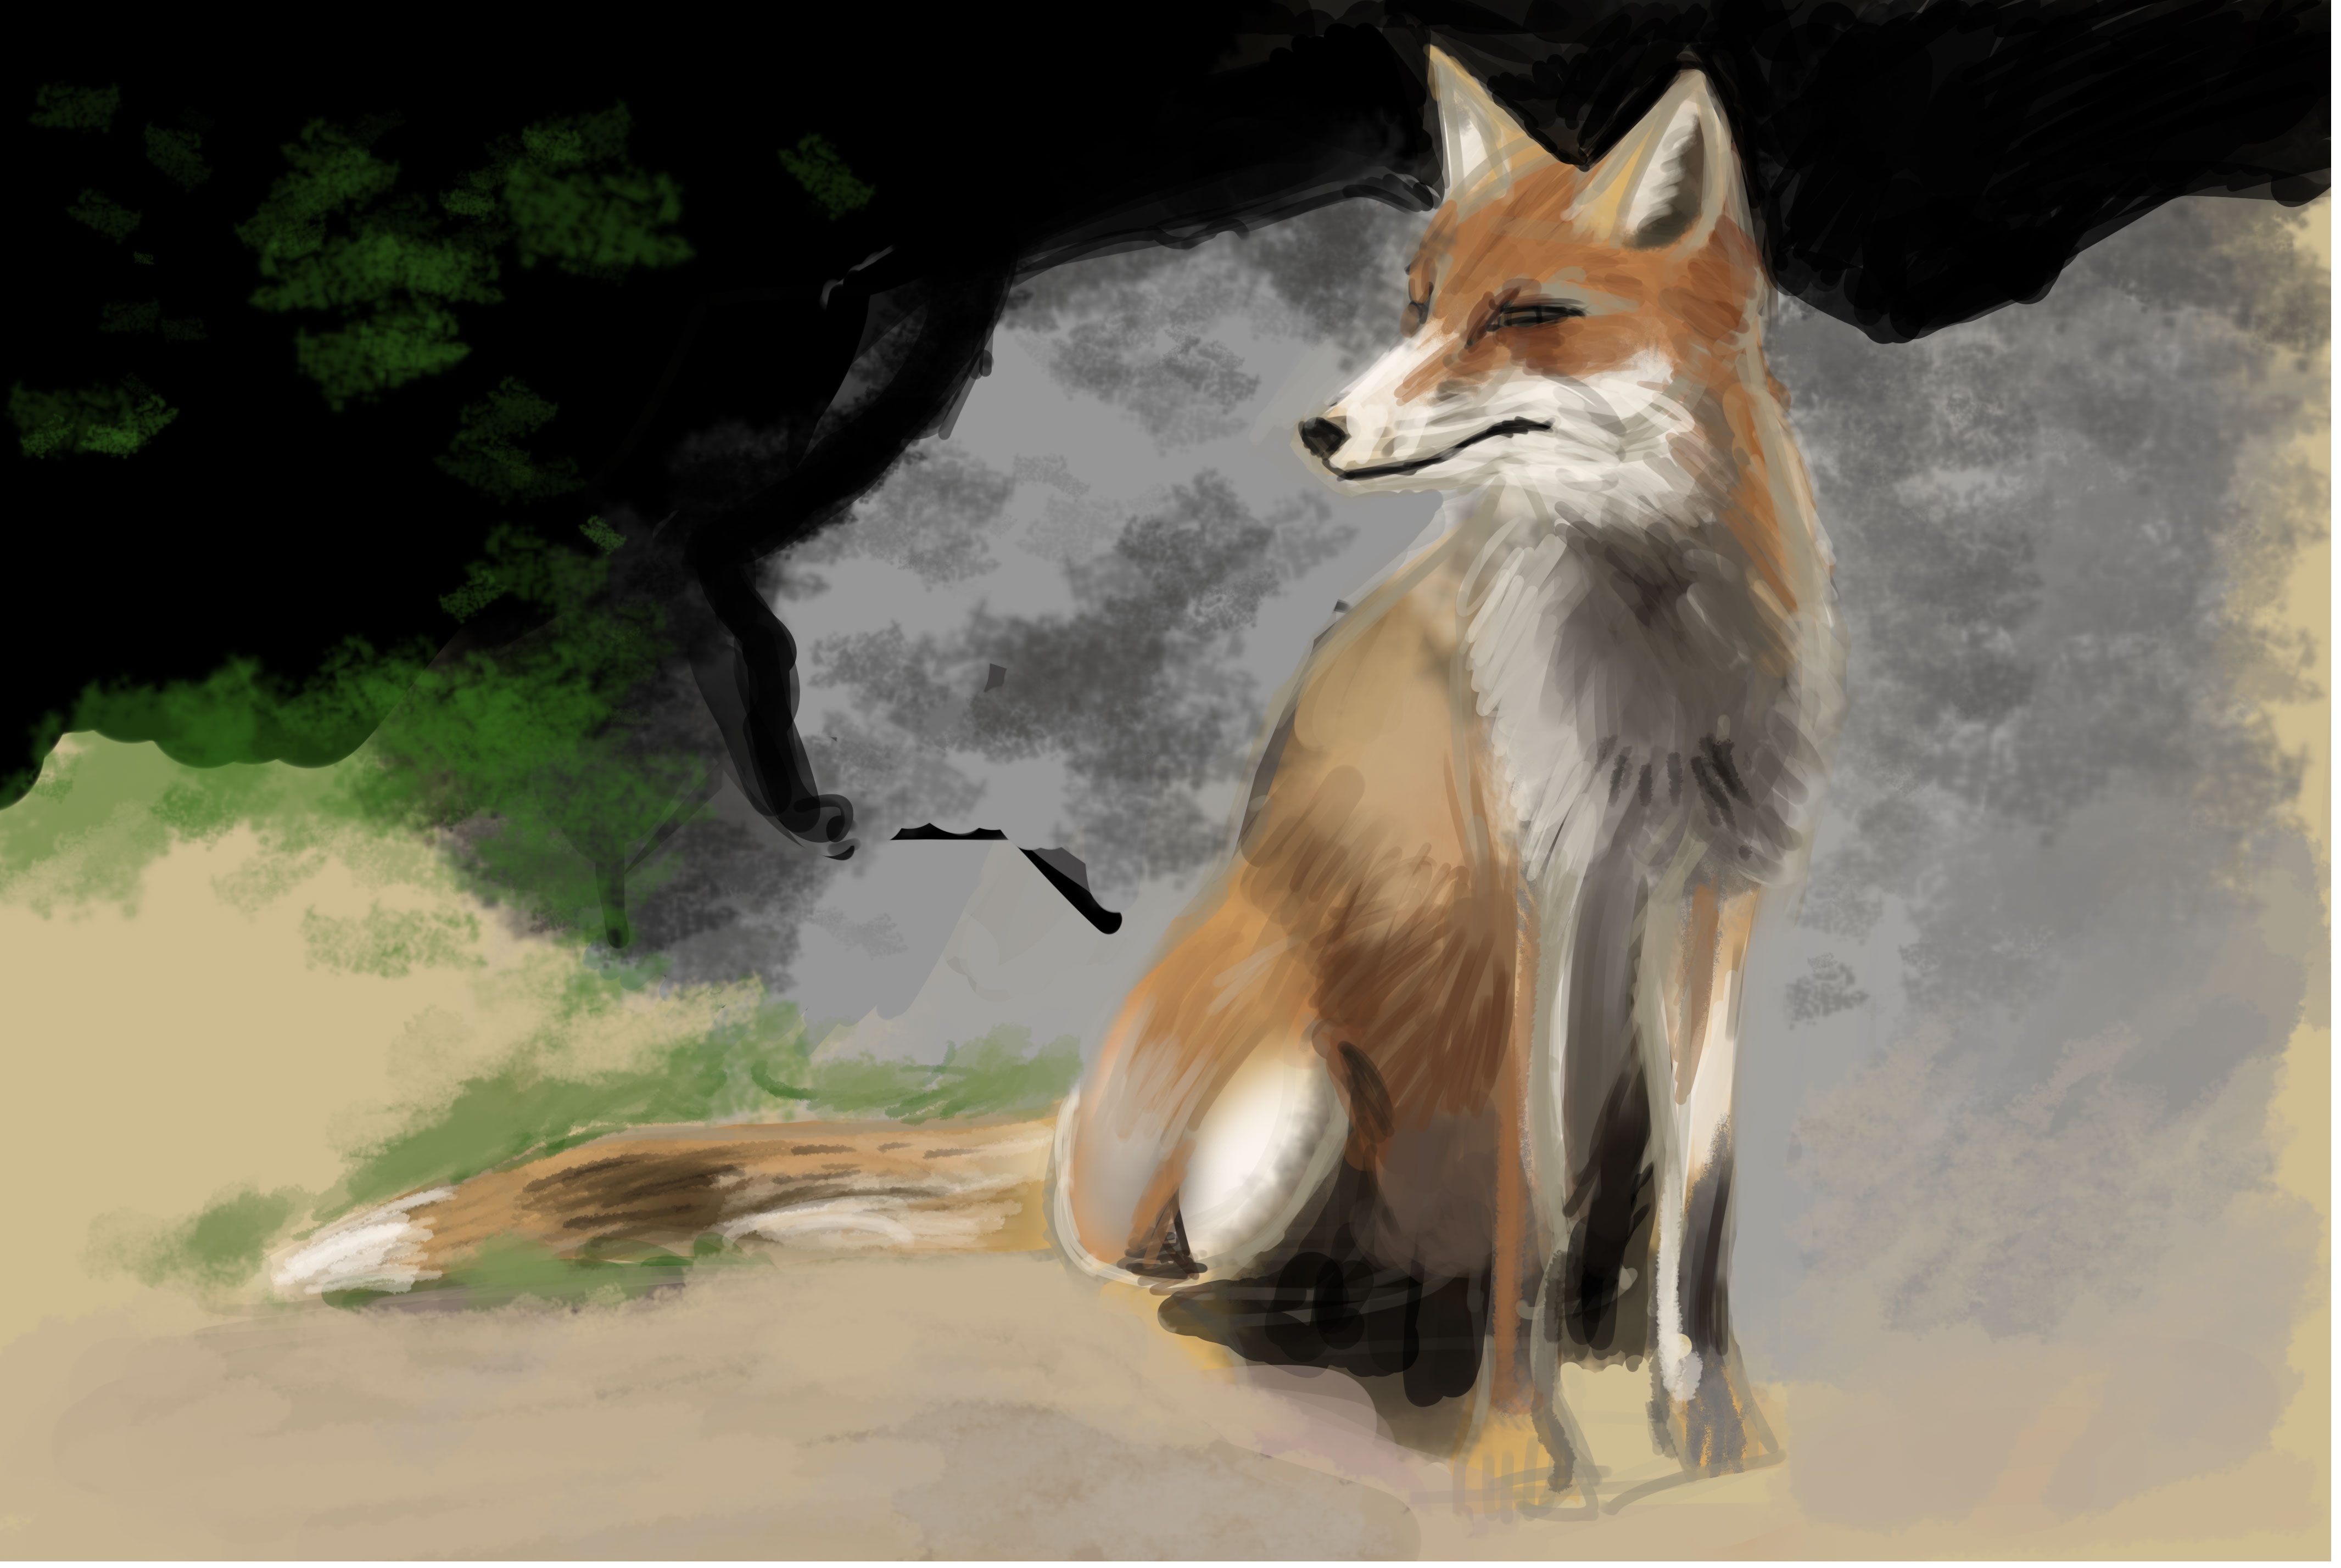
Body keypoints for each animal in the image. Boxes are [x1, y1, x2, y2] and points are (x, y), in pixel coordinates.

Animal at [1047, 47, 1848, 1500]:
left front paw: (1708, 1425)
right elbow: (1526, 1201)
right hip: (1285, 1116)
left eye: (1524, 316)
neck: (1659, 684)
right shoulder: (1535, 894)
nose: (1322, 428)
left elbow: (1701, 1212)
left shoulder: (1717, 895)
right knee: (1157, 1290)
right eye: (1418, 305)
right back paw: (1329, 1329)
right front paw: (1520, 1455)